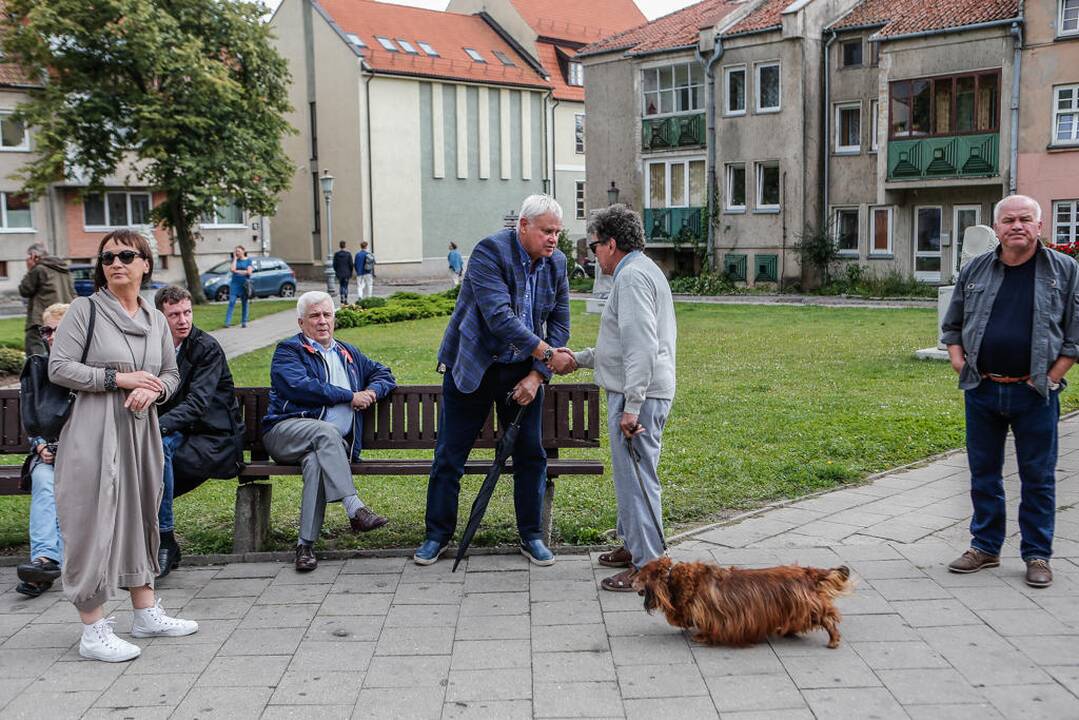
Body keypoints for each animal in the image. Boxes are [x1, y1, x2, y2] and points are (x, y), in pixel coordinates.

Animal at [630, 557, 850, 651]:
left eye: (639, 574)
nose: (630, 582)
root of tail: (807, 573)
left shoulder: (714, 615)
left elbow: (708, 627)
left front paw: (701, 637)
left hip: (808, 606)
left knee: (828, 618)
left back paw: (833, 640)